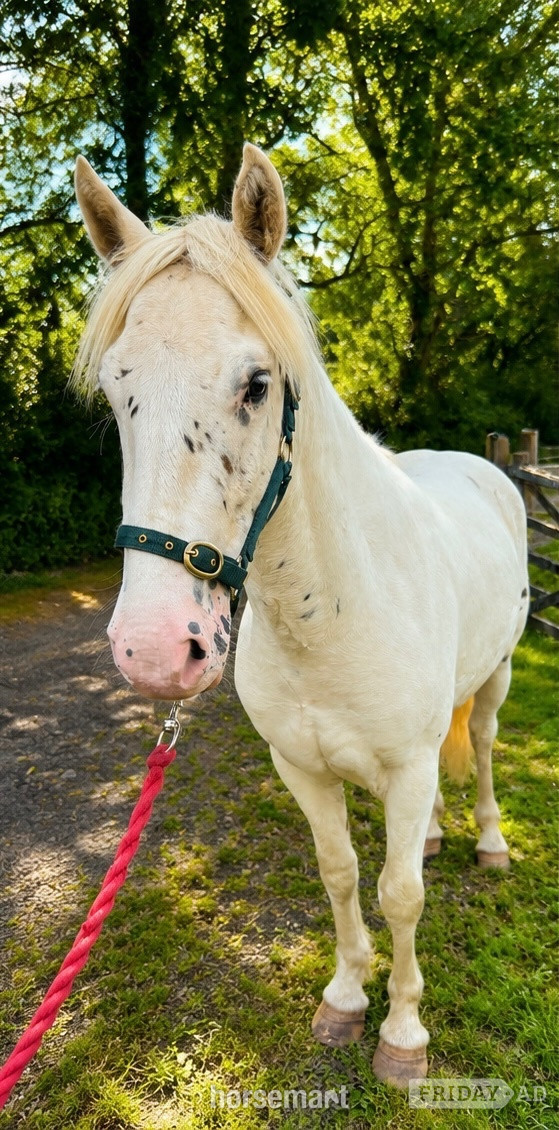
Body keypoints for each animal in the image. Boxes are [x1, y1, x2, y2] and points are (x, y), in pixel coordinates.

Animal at [72, 143, 529, 1087]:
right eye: (116, 389)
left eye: (256, 384)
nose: (153, 651)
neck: (328, 618)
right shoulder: (302, 768)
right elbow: (343, 872)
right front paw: (346, 998)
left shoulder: (405, 766)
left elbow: (400, 894)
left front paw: (402, 1034)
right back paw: (437, 835)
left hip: (499, 678)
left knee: (483, 750)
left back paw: (489, 843)